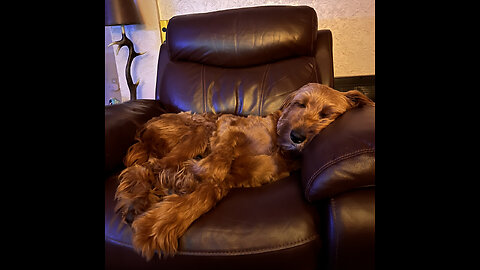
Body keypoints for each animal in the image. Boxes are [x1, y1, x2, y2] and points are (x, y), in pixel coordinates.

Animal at [115, 83, 376, 260]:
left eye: (326, 114)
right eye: (300, 104)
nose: (297, 136)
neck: (278, 145)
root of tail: (146, 128)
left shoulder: (231, 181)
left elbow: (200, 199)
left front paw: (154, 227)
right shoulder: (228, 123)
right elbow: (222, 152)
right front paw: (203, 169)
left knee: (151, 168)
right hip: (200, 127)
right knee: (147, 167)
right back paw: (138, 198)